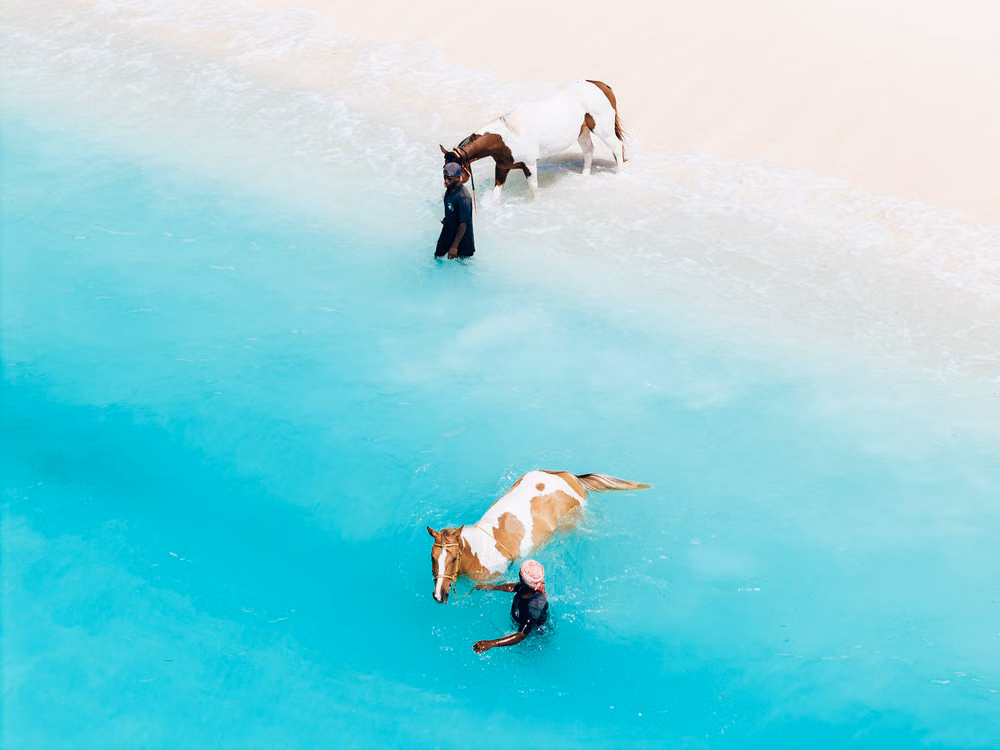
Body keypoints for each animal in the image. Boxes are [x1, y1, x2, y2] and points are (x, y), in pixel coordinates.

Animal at [440, 79, 627, 201]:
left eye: (454, 170)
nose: (447, 189)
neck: (507, 137)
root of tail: (600, 85)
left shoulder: (529, 164)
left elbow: (534, 189)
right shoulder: (502, 168)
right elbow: (496, 193)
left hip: (603, 130)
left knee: (617, 148)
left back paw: (620, 175)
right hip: (583, 132)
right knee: (589, 151)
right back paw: (584, 176)